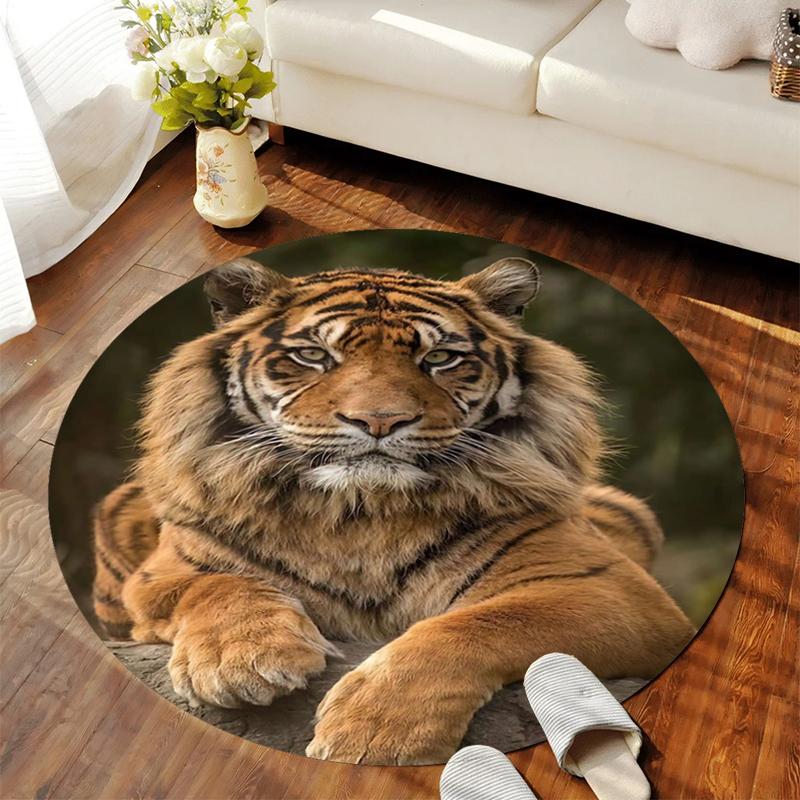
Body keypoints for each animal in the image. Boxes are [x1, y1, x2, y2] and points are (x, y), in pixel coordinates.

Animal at [92, 255, 694, 765]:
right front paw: (240, 660)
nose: (379, 420)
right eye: (313, 355)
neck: (360, 513)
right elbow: (217, 584)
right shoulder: (162, 572)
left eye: (440, 358)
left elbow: (483, 621)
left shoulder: (611, 587)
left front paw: (376, 733)